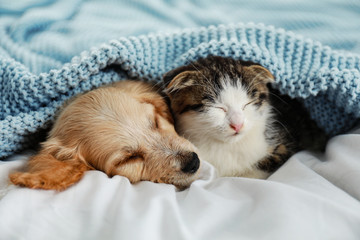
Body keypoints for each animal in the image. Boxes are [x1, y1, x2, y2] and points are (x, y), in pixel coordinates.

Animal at [162, 54, 326, 178]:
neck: (230, 147)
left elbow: (264, 165)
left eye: (247, 104)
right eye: (218, 107)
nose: (237, 124)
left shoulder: (289, 142)